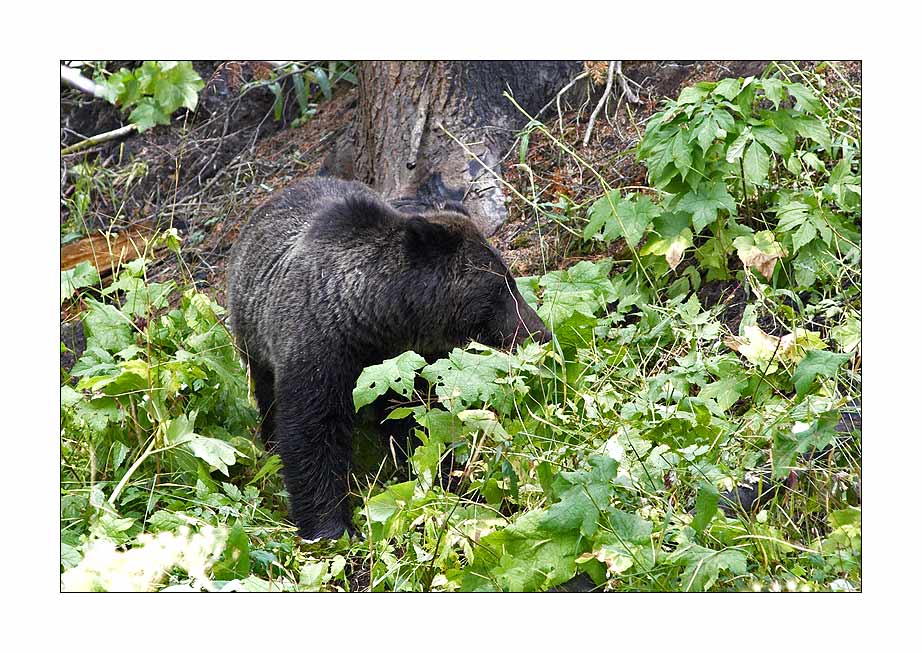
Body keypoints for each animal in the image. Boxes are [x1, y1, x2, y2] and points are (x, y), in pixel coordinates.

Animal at [228, 178, 548, 540]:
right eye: (500, 287)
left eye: (510, 279)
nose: (540, 333)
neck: (377, 321)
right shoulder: (321, 352)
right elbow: (311, 434)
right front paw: (330, 527)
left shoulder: (406, 365)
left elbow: (422, 424)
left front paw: (452, 480)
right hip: (254, 333)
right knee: (267, 394)